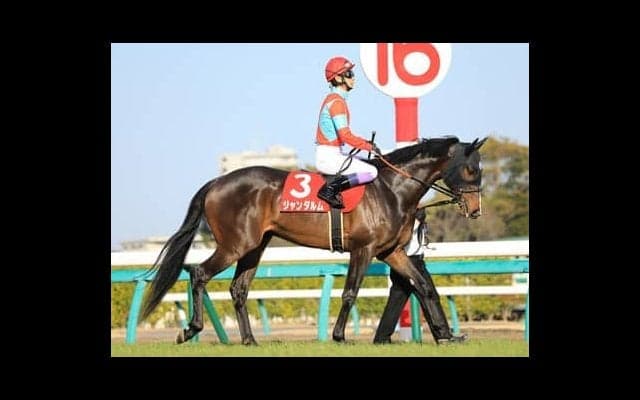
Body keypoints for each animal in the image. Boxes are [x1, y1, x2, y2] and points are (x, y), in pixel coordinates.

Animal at [139, 136, 487, 345]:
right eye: (471, 169)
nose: (475, 209)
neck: (391, 189)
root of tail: (217, 182)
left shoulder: (392, 252)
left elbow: (424, 285)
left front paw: (446, 335)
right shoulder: (364, 249)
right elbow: (349, 293)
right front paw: (339, 336)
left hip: (254, 247)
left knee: (239, 289)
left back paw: (250, 339)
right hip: (235, 245)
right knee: (199, 273)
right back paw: (190, 330)